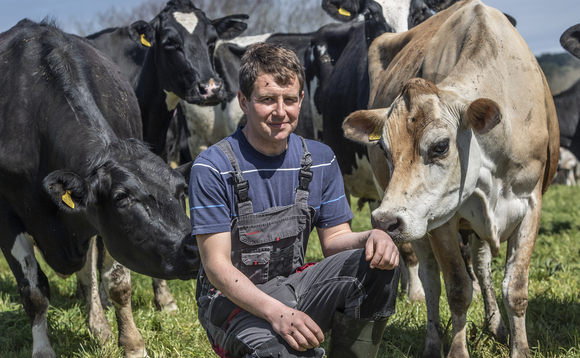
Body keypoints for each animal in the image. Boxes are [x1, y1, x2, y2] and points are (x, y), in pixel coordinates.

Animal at [0, 20, 198, 358]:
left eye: (181, 190)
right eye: (121, 197)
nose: (195, 246)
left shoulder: (99, 224)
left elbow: (117, 281)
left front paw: (132, 344)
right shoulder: (5, 217)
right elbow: (34, 290)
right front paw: (43, 349)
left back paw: (100, 326)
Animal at [342, 1, 560, 356]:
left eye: (440, 146)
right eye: (384, 150)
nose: (385, 220)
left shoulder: (530, 204)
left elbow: (514, 289)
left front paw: (519, 347)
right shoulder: (441, 219)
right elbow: (458, 289)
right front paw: (457, 349)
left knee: (482, 268)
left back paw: (495, 325)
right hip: (419, 227)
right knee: (430, 277)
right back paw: (432, 342)